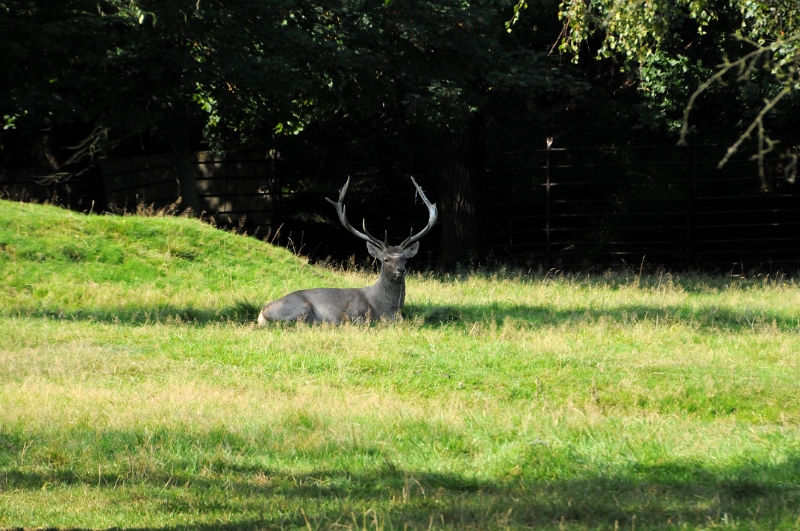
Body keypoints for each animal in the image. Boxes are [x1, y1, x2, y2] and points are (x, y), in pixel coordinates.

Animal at [258, 176, 438, 324]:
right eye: (385, 259)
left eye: (405, 258)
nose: (401, 270)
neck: (386, 308)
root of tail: (261, 314)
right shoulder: (354, 313)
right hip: (301, 309)